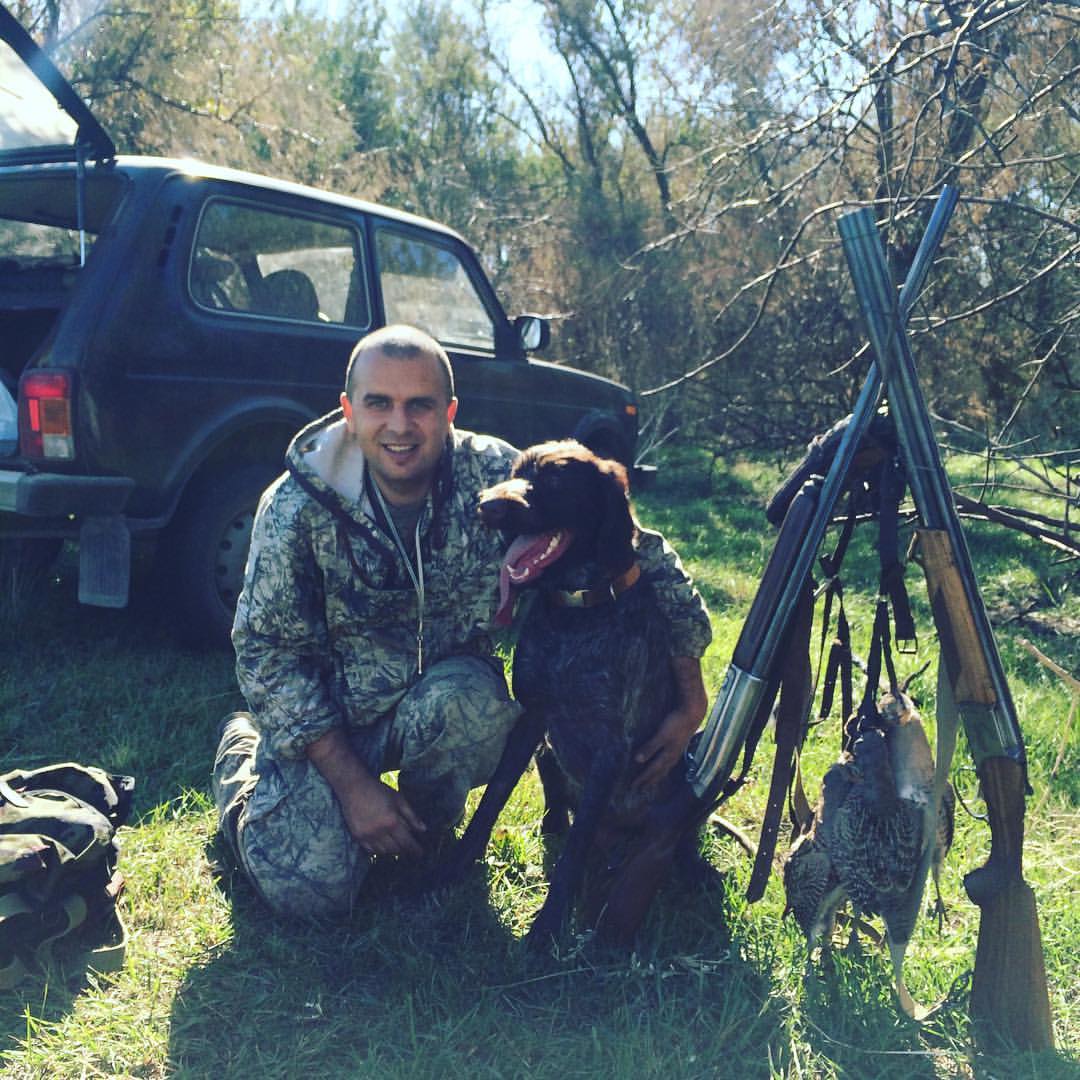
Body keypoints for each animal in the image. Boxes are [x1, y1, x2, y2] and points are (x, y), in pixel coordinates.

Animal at [426, 440, 710, 947]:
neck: (575, 613)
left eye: (557, 480)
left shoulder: (611, 748)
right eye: (514, 472)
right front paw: (454, 868)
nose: (486, 506)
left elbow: (575, 854)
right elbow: (491, 799)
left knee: (671, 832)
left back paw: (689, 868)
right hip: (547, 751)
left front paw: (547, 927)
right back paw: (556, 823)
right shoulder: (532, 719)